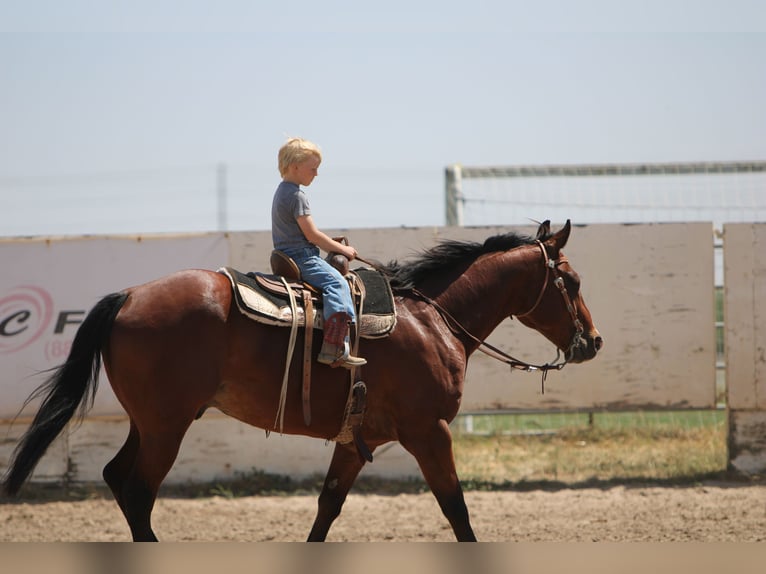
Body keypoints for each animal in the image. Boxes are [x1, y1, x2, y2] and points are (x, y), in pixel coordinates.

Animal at [3, 218, 608, 544]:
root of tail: (128, 295)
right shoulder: (429, 431)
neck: (430, 319)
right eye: (573, 281)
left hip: (149, 423)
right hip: (165, 426)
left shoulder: (357, 438)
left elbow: (327, 505)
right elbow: (455, 507)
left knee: (117, 479)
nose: (595, 342)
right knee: (136, 490)